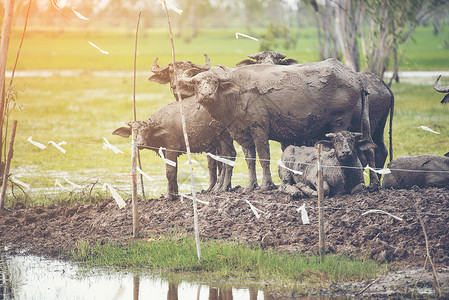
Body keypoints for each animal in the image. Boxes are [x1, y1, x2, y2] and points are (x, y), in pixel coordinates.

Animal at [178, 58, 374, 192]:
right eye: (197, 82)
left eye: (215, 82)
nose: (206, 95)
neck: (236, 94)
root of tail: (355, 78)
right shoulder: (242, 134)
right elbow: (249, 160)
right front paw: (250, 186)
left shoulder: (259, 129)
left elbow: (264, 157)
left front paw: (266, 185)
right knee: (369, 150)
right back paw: (373, 183)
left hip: (340, 122)